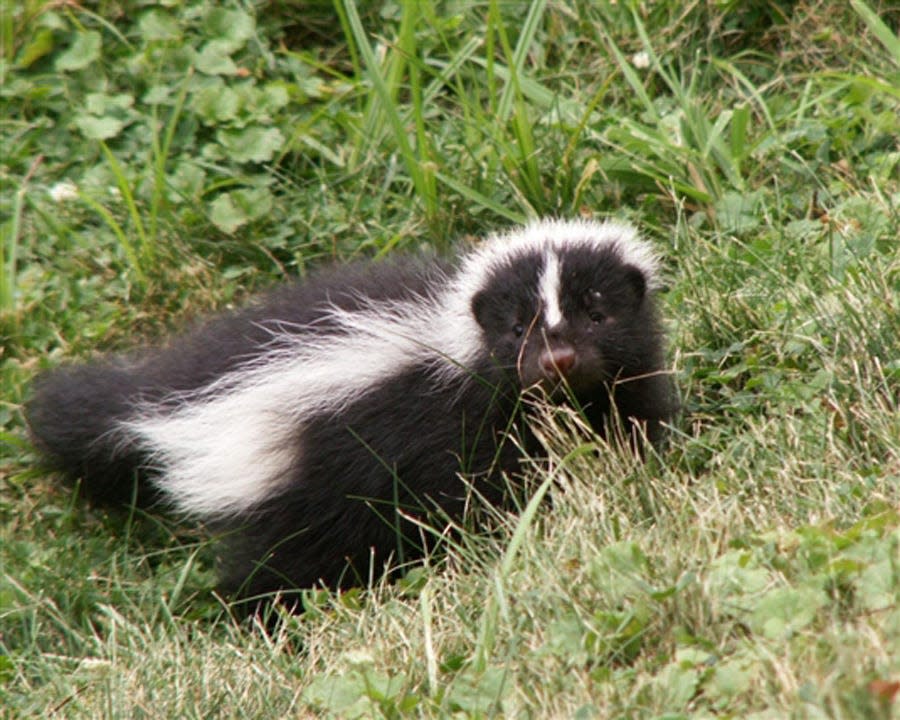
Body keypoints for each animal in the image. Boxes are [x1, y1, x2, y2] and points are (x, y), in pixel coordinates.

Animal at [24, 219, 672, 608]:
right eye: (516, 331)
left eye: (598, 314)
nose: (557, 361)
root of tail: (166, 399)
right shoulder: (444, 423)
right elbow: (484, 486)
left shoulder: (625, 384)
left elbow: (628, 427)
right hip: (299, 481)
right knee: (276, 565)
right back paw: (266, 620)